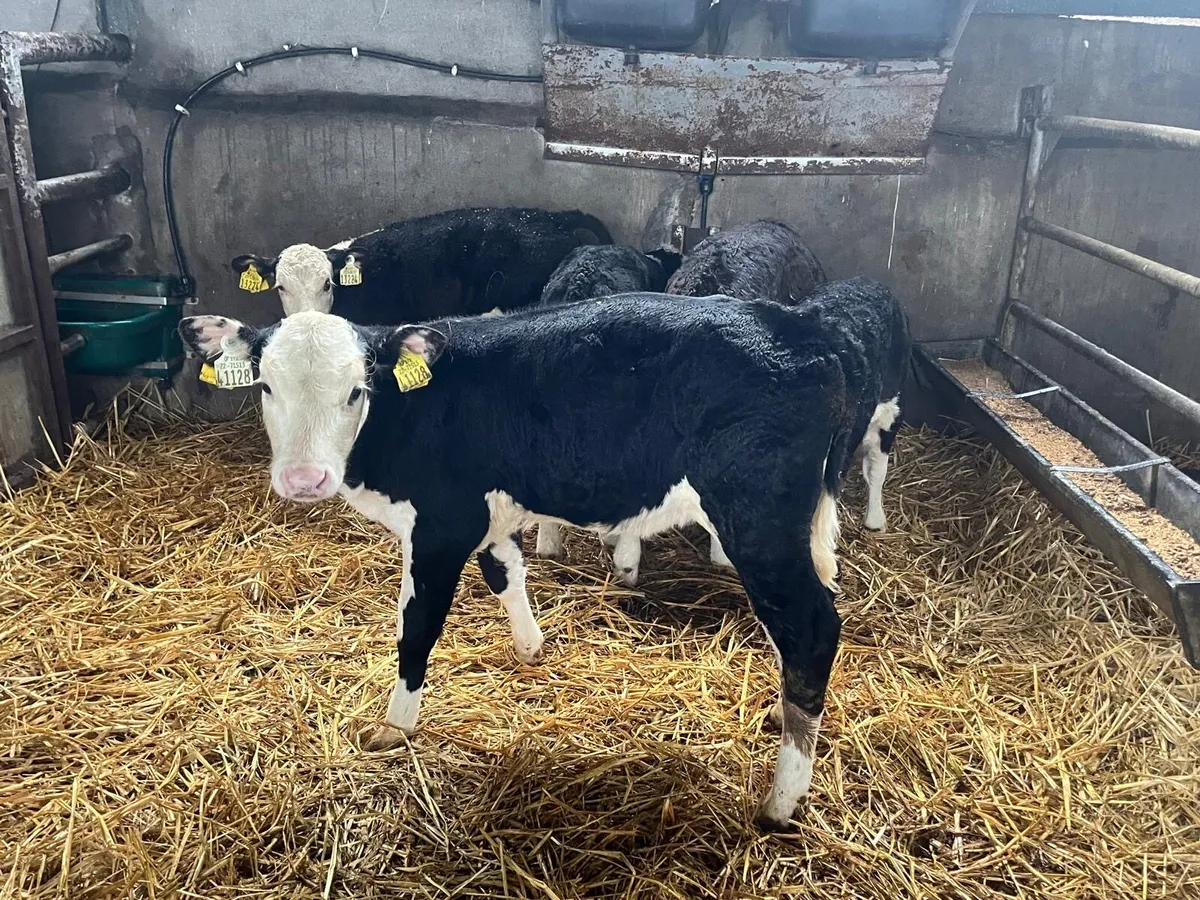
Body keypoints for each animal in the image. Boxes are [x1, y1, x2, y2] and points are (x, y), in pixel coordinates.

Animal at [178, 287, 904, 829]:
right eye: (265, 387)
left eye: (356, 390)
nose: (304, 480)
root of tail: (801, 324)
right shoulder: (487, 516)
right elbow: (506, 573)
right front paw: (531, 648)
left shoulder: (440, 525)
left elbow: (417, 630)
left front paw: (394, 727)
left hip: (759, 519)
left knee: (811, 629)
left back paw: (782, 801)